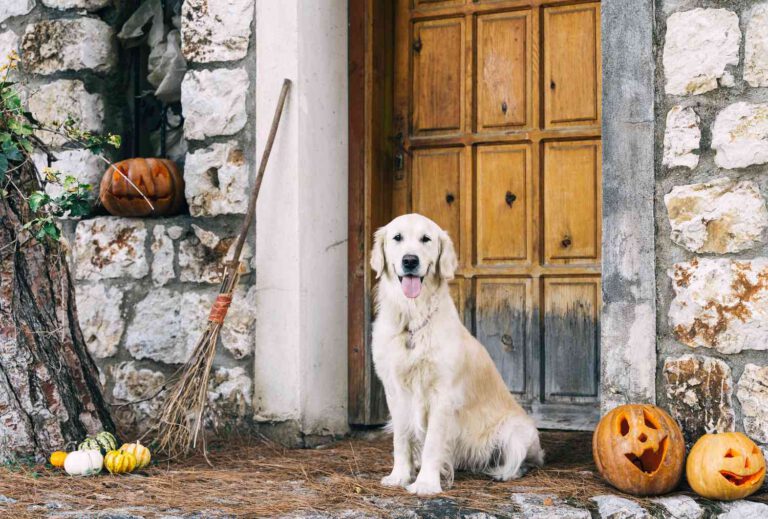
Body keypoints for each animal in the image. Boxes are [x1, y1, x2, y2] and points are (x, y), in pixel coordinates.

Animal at [370, 214, 540, 496]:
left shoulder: (443, 394)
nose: (410, 260)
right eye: (397, 237)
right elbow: (401, 439)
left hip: (516, 431)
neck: (412, 320)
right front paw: (400, 476)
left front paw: (426, 483)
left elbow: (433, 443)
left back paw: (501, 472)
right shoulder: (394, 390)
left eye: (426, 239)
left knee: (522, 460)